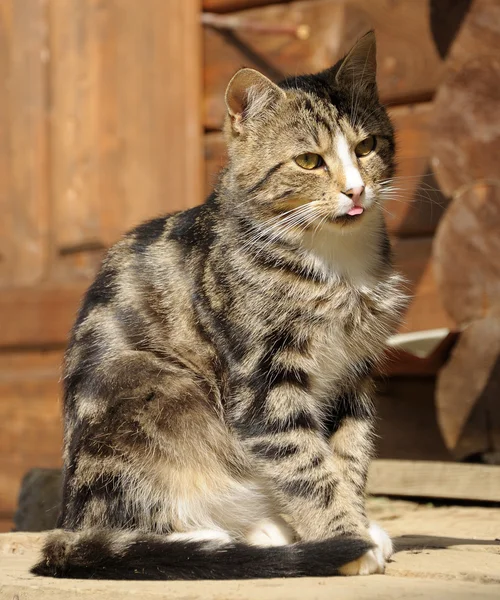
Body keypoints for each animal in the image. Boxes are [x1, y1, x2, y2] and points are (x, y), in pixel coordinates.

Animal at [32, 32, 406, 580]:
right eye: (309, 161)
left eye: (366, 147)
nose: (356, 190)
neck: (334, 262)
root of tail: (69, 517)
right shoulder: (262, 379)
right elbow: (303, 462)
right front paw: (346, 540)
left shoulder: (353, 371)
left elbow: (349, 453)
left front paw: (357, 525)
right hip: (160, 392)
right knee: (128, 523)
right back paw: (214, 536)